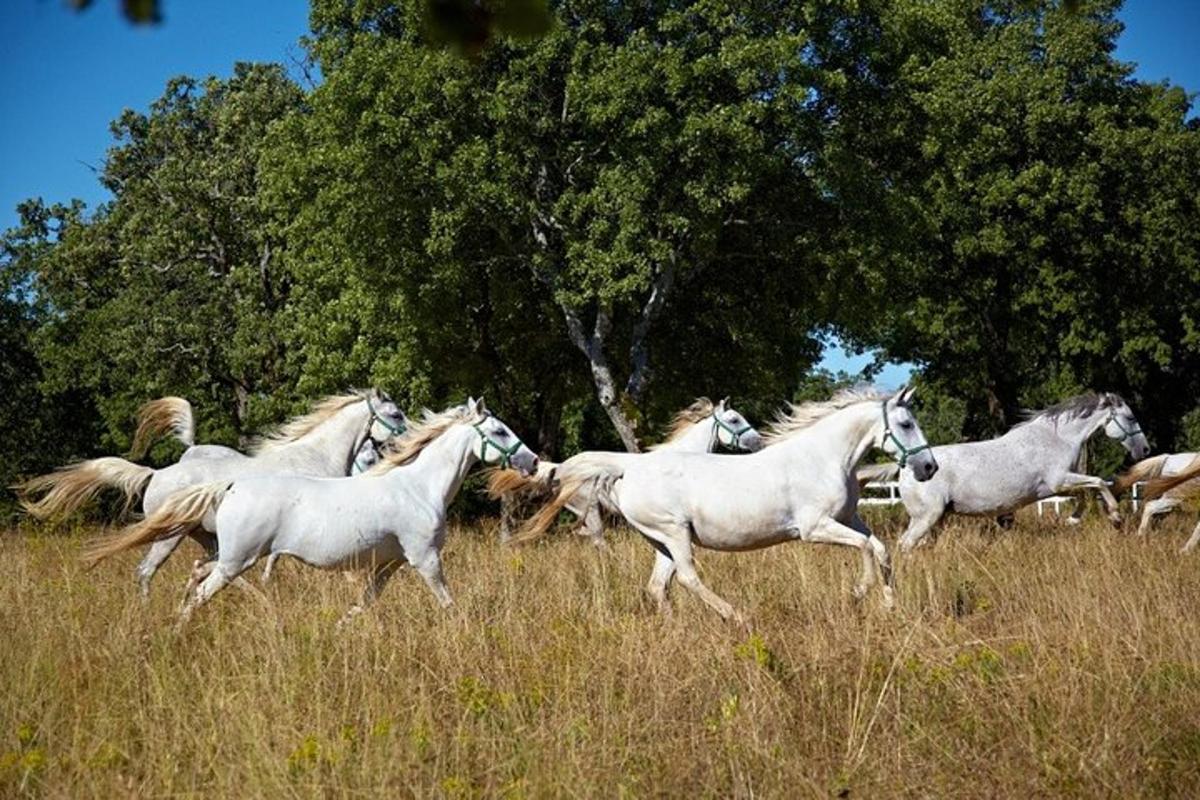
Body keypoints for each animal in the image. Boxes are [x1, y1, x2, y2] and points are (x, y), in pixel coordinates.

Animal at [18, 388, 405, 594]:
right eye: (397, 414)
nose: (408, 439)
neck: (313, 457)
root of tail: (154, 475)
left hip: (204, 537)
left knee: (204, 568)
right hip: (169, 536)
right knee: (147, 571)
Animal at [84, 400, 535, 623]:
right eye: (499, 431)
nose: (531, 462)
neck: (419, 488)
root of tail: (231, 487)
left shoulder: (389, 564)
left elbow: (365, 602)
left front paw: (342, 627)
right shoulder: (425, 559)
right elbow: (447, 602)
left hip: (224, 552)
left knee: (196, 578)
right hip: (230, 557)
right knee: (194, 588)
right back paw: (179, 628)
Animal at [864, 391, 1152, 554]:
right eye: (1130, 418)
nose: (1145, 449)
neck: (1056, 438)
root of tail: (906, 466)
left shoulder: (1060, 485)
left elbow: (1087, 492)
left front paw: (1074, 519)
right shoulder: (1059, 482)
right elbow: (1098, 483)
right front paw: (1115, 517)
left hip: (936, 520)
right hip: (926, 517)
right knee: (904, 545)